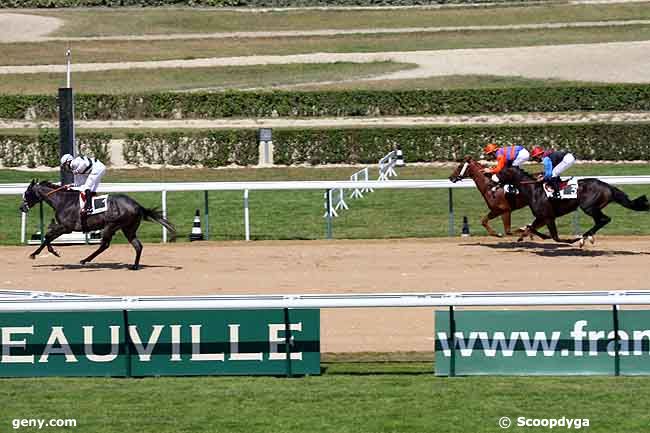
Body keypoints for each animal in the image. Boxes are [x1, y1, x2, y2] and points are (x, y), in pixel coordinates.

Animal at [19, 178, 175, 266]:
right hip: (128, 229)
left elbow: (47, 236)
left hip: (111, 225)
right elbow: (48, 236)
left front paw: (47, 252)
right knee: (138, 246)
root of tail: (136, 205)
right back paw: (135, 266)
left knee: (104, 245)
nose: (21, 207)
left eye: (27, 193)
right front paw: (43, 252)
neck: (63, 201)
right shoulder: (63, 227)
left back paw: (84, 260)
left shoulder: (66, 227)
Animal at [494, 167, 644, 245]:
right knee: (601, 220)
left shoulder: (548, 217)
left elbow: (556, 237)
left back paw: (583, 237)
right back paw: (586, 237)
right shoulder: (541, 217)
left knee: (605, 219)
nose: (492, 178)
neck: (534, 190)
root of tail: (608, 186)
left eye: (501, 172)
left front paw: (572, 239)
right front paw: (522, 235)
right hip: (593, 208)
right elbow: (531, 227)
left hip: (589, 207)